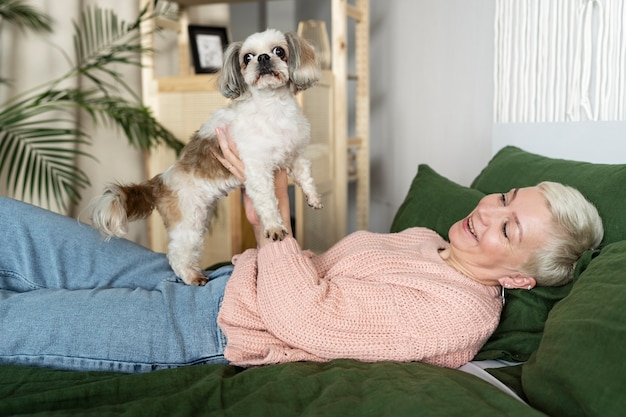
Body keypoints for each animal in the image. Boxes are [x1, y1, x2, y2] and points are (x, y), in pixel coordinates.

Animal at [91, 27, 322, 284]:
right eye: (247, 57)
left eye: (279, 51)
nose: (263, 58)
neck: (273, 107)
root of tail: (159, 182)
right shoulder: (257, 169)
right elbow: (268, 201)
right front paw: (274, 226)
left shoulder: (295, 153)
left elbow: (305, 175)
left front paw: (313, 197)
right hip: (188, 222)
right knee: (176, 254)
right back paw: (191, 276)